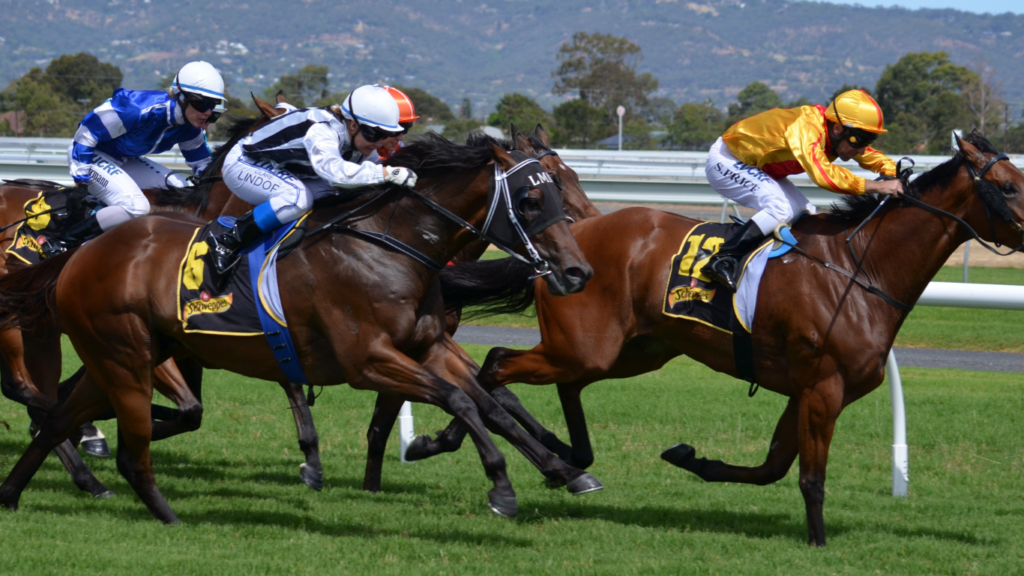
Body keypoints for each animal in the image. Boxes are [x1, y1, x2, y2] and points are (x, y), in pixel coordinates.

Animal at [0, 131, 598, 520]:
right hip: (112, 349)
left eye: (562, 180)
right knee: (44, 398)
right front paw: (502, 485)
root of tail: (76, 254)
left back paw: (34, 487)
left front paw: (561, 467)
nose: (578, 270)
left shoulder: (427, 345)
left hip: (119, 352)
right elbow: (461, 400)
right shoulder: (367, 360)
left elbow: (489, 401)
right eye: (531, 196)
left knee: (57, 411)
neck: (389, 245)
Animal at [380, 132, 1024, 545]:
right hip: (585, 343)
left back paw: (566, 460)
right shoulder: (824, 386)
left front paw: (692, 458)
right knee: (494, 364)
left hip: (630, 350)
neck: (858, 269)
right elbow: (810, 477)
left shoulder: (803, 389)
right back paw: (457, 445)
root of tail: (562, 244)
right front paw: (818, 543)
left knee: (560, 383)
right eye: (1011, 186)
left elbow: (772, 468)